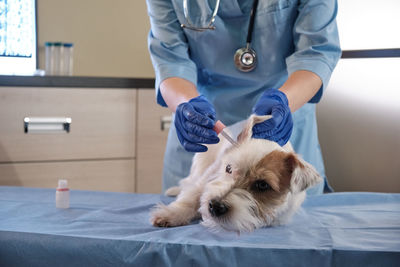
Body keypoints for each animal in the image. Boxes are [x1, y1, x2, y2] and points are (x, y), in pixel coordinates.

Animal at [150, 116, 322, 233]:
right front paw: (171, 215)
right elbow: (190, 198)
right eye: (228, 168)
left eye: (262, 185)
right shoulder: (206, 180)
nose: (215, 206)